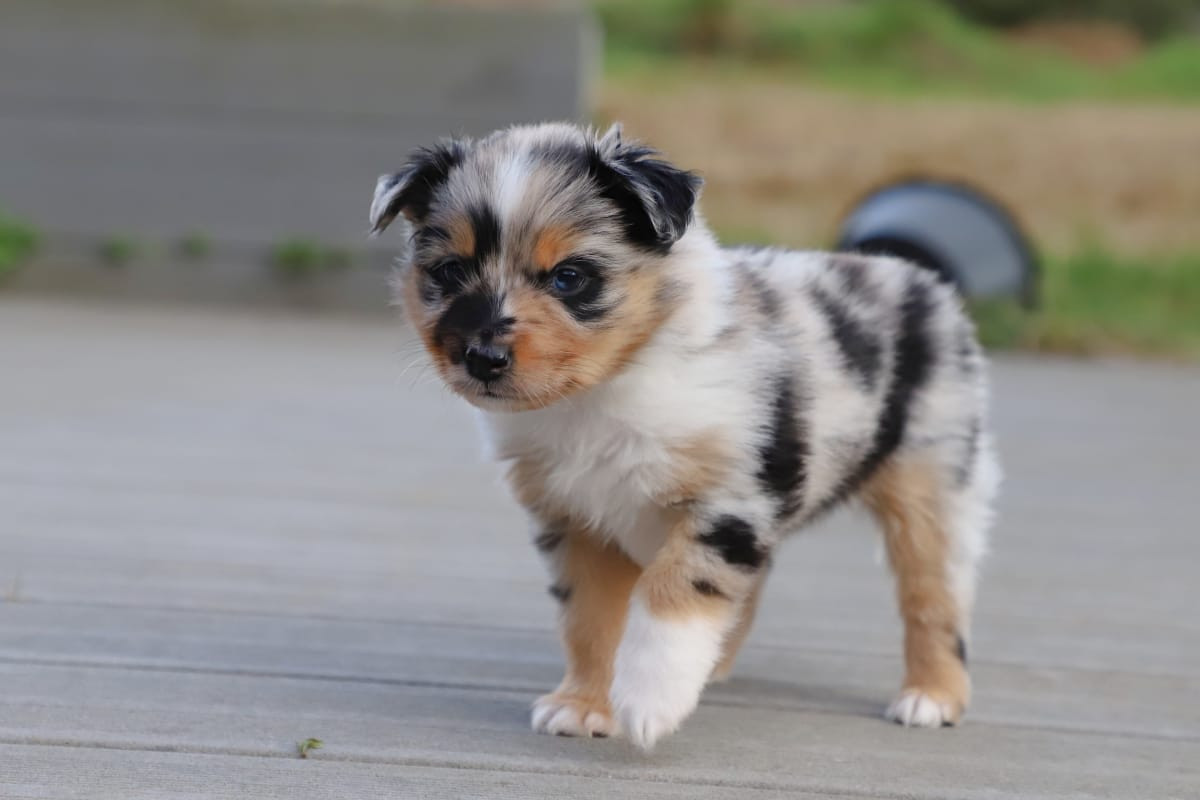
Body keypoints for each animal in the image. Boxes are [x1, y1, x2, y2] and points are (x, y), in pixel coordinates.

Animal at [369, 122, 999, 750]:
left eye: (570, 277)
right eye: (450, 271)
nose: (482, 358)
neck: (604, 391)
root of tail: (916, 276)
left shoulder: (728, 500)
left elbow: (676, 588)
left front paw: (651, 700)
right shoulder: (575, 522)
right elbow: (589, 619)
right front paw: (584, 706)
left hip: (932, 488)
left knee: (935, 598)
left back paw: (931, 696)